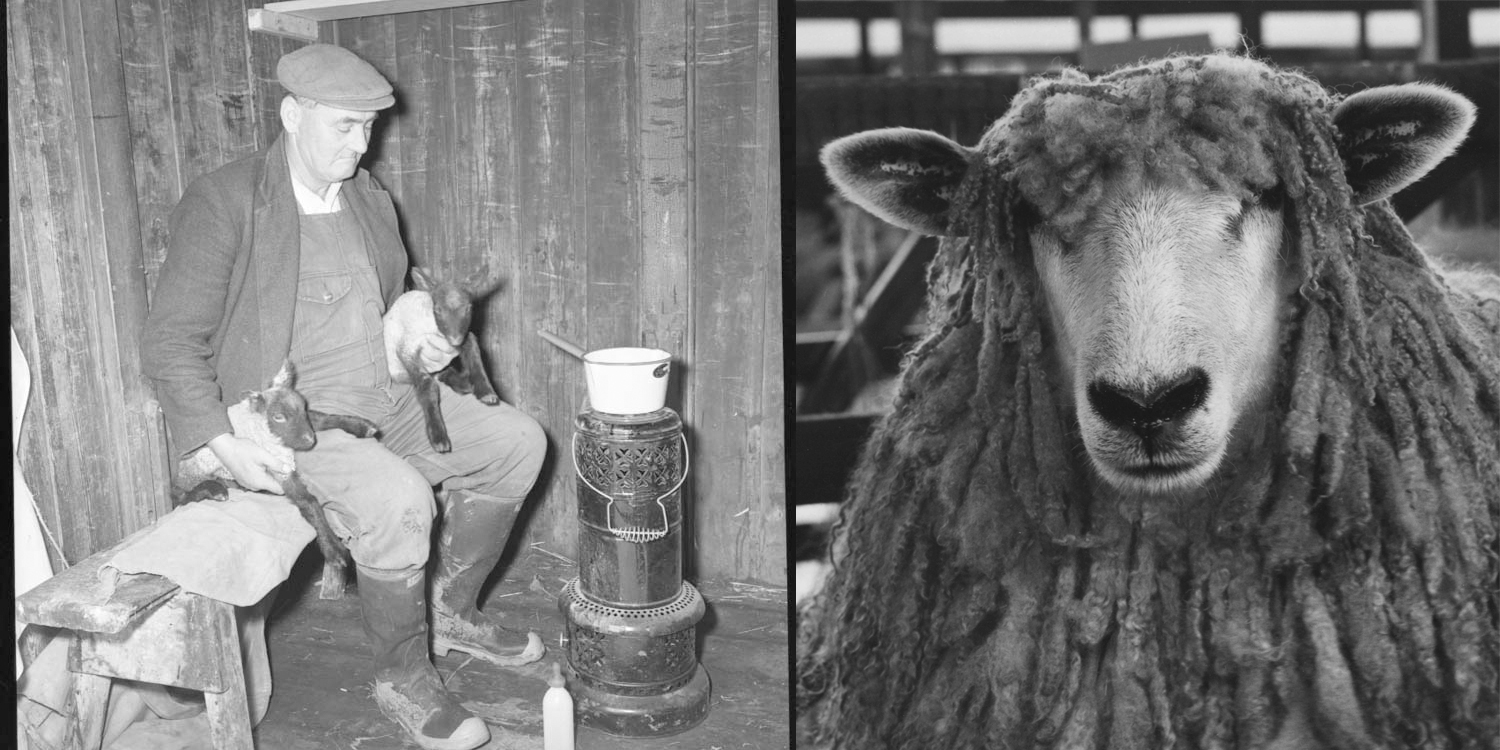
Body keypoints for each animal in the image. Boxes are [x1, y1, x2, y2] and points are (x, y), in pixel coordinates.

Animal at [177, 363, 381, 579]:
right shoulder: (280, 468)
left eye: (303, 407)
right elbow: (309, 502)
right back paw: (215, 490)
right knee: (181, 495)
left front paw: (362, 426)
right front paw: (333, 550)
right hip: (196, 467)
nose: (310, 440)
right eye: (278, 417)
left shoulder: (308, 425)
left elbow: (323, 419)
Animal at [384, 265, 501, 450]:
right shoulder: (406, 348)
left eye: (469, 308)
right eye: (437, 309)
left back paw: (466, 384)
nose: (455, 339)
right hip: (397, 370)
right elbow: (427, 385)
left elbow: (474, 350)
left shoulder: (464, 336)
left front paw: (486, 391)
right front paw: (438, 437)